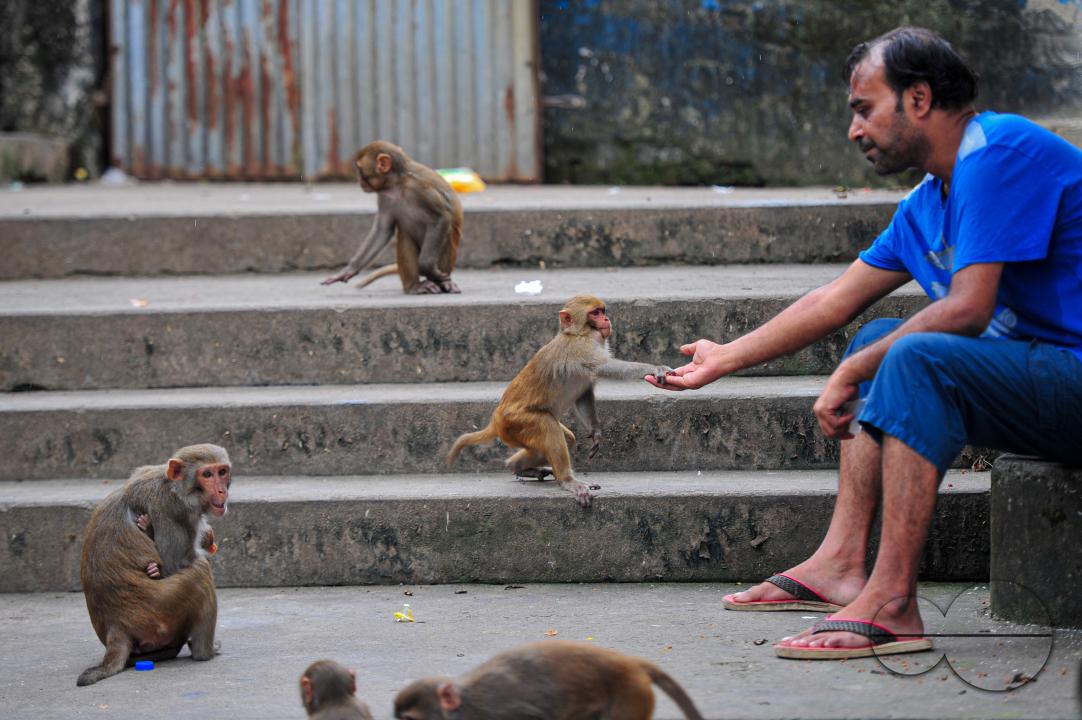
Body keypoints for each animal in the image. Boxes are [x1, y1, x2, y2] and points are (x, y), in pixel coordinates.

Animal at [76, 444, 231, 686]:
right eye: (207, 474)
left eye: (222, 472)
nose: (222, 491)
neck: (174, 486)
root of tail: (115, 629)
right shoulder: (173, 511)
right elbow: (173, 565)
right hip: (160, 614)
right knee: (201, 571)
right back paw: (205, 652)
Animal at [322, 140, 463, 294]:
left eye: (359, 169)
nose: (358, 180)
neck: (397, 183)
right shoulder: (384, 197)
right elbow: (383, 229)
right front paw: (349, 270)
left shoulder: (419, 188)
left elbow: (441, 218)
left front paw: (427, 268)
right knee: (405, 235)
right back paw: (414, 286)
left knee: (447, 230)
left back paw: (440, 282)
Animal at [447, 295, 671, 507]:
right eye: (595, 313)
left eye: (603, 311)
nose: (606, 319)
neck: (578, 334)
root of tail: (496, 420)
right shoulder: (583, 348)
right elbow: (609, 367)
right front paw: (655, 368)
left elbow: (583, 395)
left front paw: (595, 431)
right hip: (516, 422)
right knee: (548, 427)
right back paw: (567, 481)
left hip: (514, 431)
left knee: (564, 439)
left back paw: (517, 467)